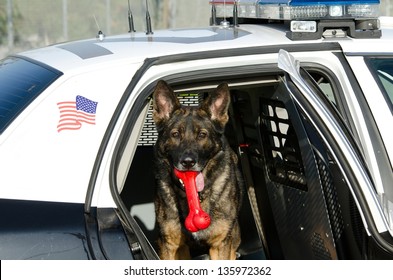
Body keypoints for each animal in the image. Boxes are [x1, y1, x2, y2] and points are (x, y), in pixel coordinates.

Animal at [152, 80, 242, 260]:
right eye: (175, 134)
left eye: (202, 135)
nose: (188, 162)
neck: (195, 198)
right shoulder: (172, 246)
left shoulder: (220, 245)